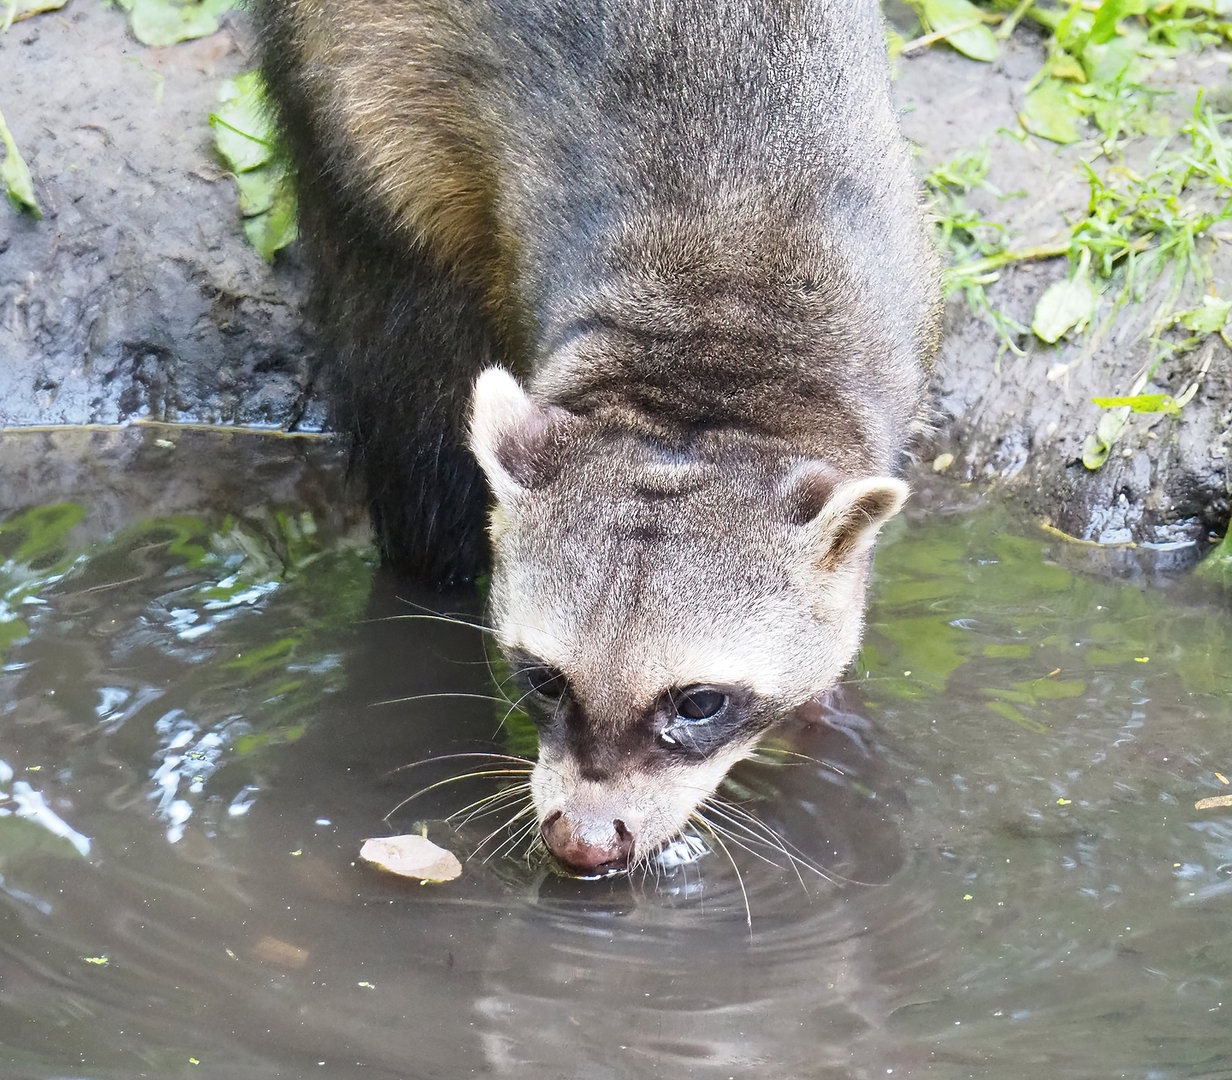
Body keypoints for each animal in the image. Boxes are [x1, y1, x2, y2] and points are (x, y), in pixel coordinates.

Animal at [254, 0, 941, 874]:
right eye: (546, 679)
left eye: (700, 702)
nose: (581, 845)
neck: (710, 355)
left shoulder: (903, 294)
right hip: (355, 95)